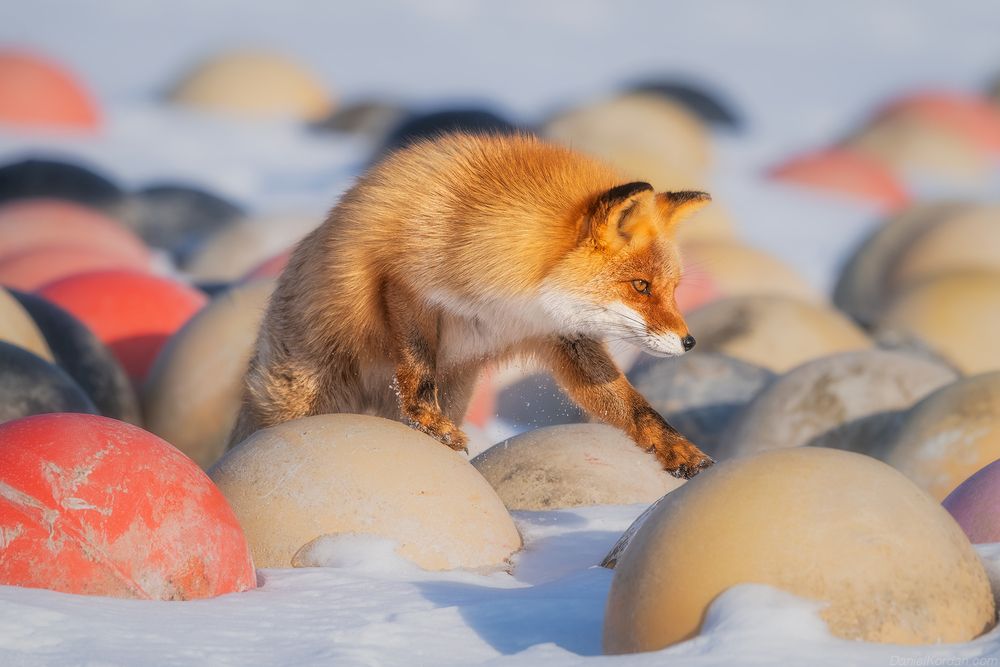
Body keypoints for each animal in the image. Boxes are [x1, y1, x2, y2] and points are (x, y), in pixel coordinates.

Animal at [231, 133, 714, 478]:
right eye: (640, 286)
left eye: (672, 289)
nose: (689, 342)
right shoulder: (405, 283)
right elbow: (418, 369)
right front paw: (429, 421)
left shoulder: (561, 335)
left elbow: (634, 407)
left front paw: (677, 449)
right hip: (300, 399)